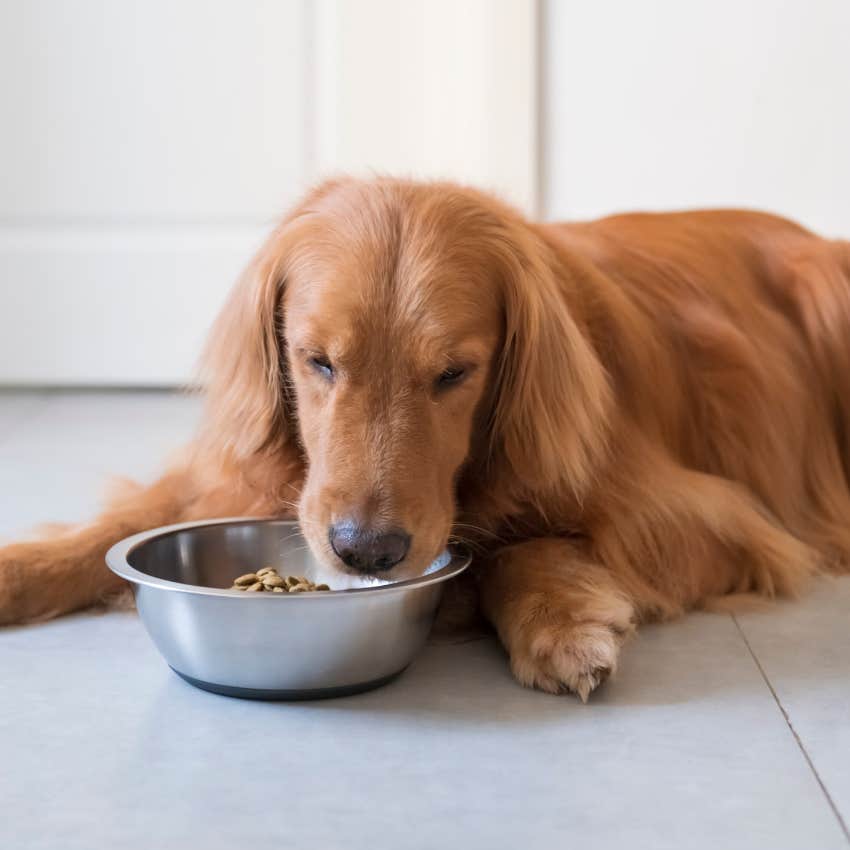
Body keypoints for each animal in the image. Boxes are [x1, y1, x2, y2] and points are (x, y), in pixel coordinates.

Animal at [1, 177, 848, 696]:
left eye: (453, 373)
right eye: (318, 360)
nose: (365, 552)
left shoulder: (714, 520)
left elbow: (513, 550)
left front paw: (559, 623)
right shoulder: (239, 474)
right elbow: (113, 528)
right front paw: (21, 570)